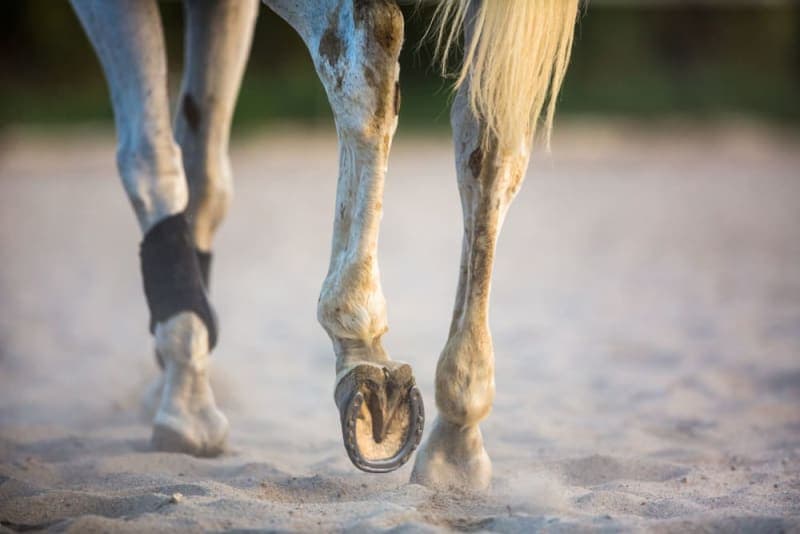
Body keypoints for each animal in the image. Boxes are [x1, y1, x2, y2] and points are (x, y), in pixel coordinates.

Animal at [69, 0, 579, 491]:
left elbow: (151, 157)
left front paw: (184, 397)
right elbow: (202, 170)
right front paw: (179, 369)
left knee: (370, 51)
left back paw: (361, 343)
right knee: (490, 133)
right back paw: (457, 436)